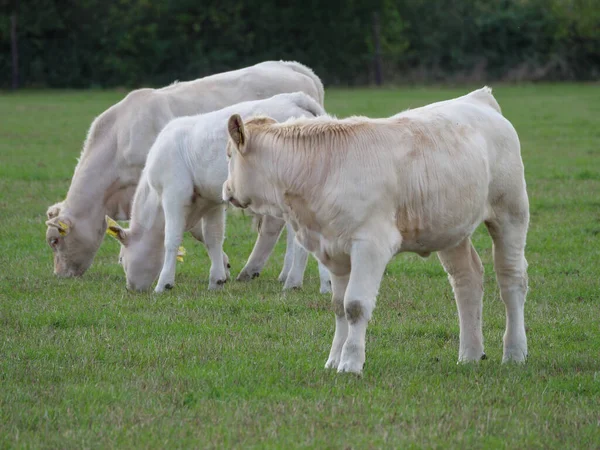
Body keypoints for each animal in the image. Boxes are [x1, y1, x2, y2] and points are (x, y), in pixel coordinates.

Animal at [44, 60, 326, 278]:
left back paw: (259, 271)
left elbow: (193, 230)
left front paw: (222, 264)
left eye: (55, 240)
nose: (59, 275)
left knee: (273, 226)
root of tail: (293, 69)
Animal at [108, 93, 332, 294]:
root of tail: (296, 98)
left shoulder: (174, 195)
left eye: (120, 259)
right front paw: (216, 280)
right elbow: (213, 238)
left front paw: (164, 284)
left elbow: (172, 239)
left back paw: (294, 281)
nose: (130, 288)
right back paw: (324, 284)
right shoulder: (211, 202)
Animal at [224, 87, 528, 372]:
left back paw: (514, 352)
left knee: (511, 280)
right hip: (451, 229)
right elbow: (339, 306)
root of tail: (479, 98)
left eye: (229, 155)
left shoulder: (370, 245)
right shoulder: (333, 249)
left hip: (510, 213)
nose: (226, 190)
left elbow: (355, 305)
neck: (322, 168)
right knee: (467, 279)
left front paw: (350, 363)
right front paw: (333, 360)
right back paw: (469, 355)